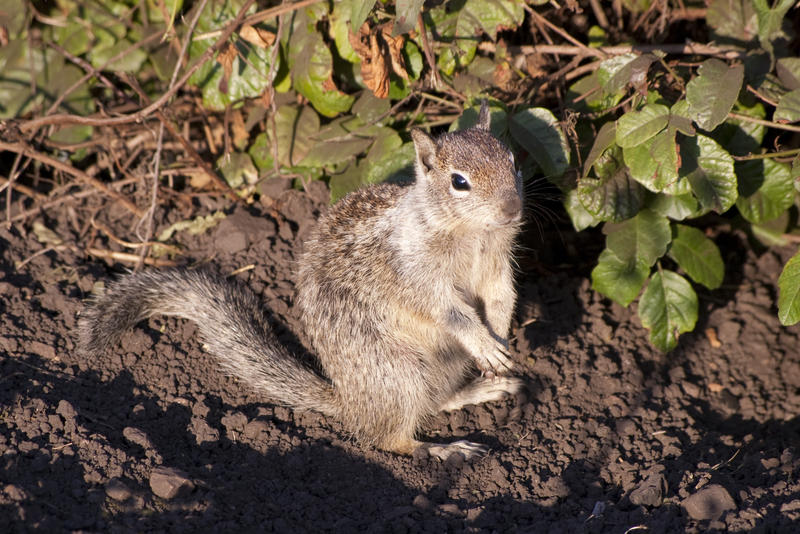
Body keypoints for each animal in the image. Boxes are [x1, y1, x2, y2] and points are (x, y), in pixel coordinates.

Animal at [76, 102, 524, 462]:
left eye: (512, 159)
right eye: (459, 182)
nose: (512, 208)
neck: (472, 234)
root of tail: (348, 401)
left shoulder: (497, 266)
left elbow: (502, 297)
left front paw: (501, 337)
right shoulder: (415, 274)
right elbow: (449, 311)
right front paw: (485, 342)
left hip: (441, 366)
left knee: (436, 403)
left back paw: (483, 389)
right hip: (399, 374)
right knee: (388, 438)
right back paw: (441, 449)